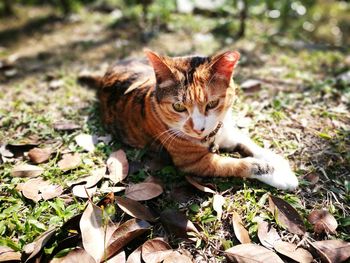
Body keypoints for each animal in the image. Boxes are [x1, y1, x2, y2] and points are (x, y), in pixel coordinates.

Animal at [87, 50, 298, 190]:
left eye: (212, 103)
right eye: (178, 107)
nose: (198, 128)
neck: (212, 136)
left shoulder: (227, 130)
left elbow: (249, 143)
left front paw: (277, 161)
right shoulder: (194, 162)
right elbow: (236, 164)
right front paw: (276, 174)